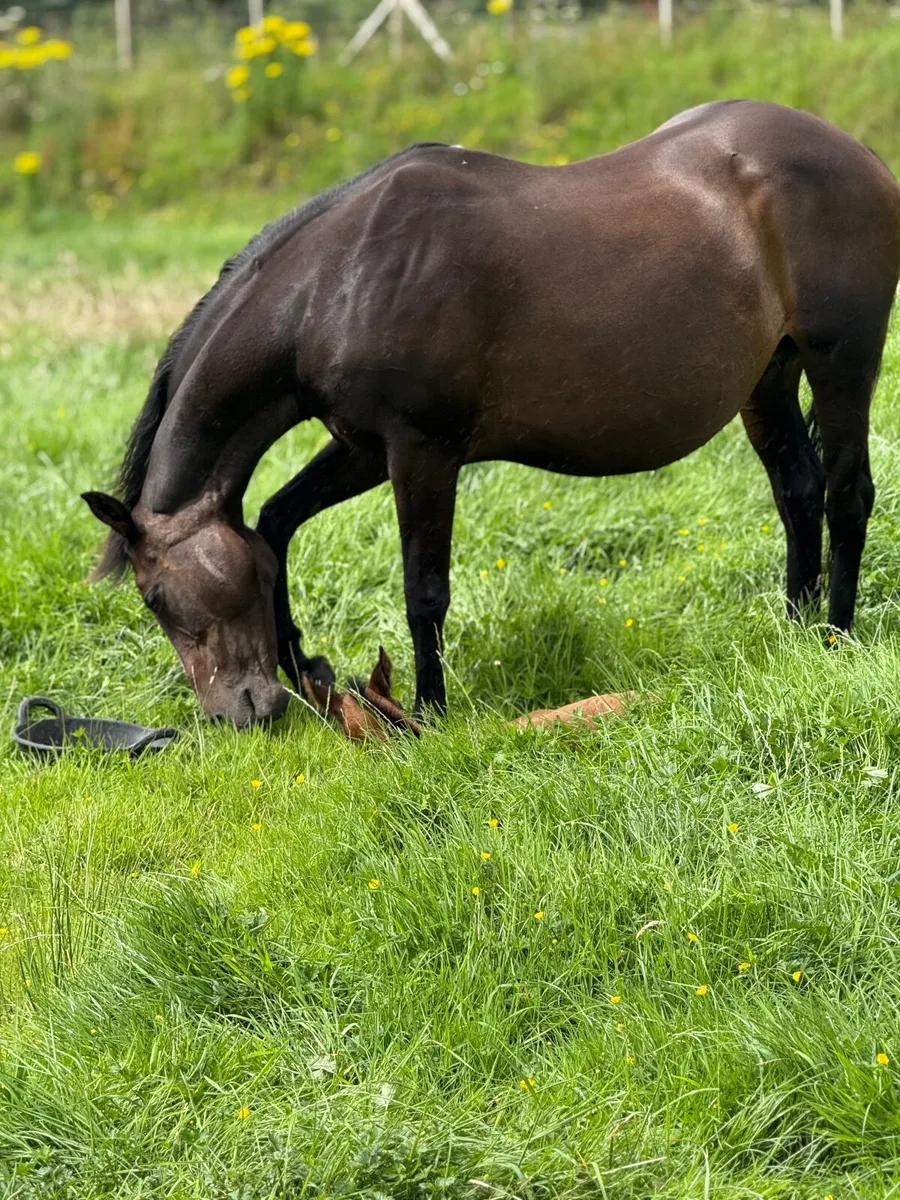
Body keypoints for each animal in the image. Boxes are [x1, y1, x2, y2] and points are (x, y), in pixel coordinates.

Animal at [82, 100, 900, 728]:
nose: (242, 712)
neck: (339, 284)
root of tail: (859, 154)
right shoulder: (363, 446)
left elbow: (424, 590)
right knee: (797, 491)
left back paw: (834, 636)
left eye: (155, 597)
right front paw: (309, 664)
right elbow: (275, 525)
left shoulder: (422, 451)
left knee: (846, 493)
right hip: (768, 380)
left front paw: (428, 714)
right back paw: (793, 631)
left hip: (841, 364)